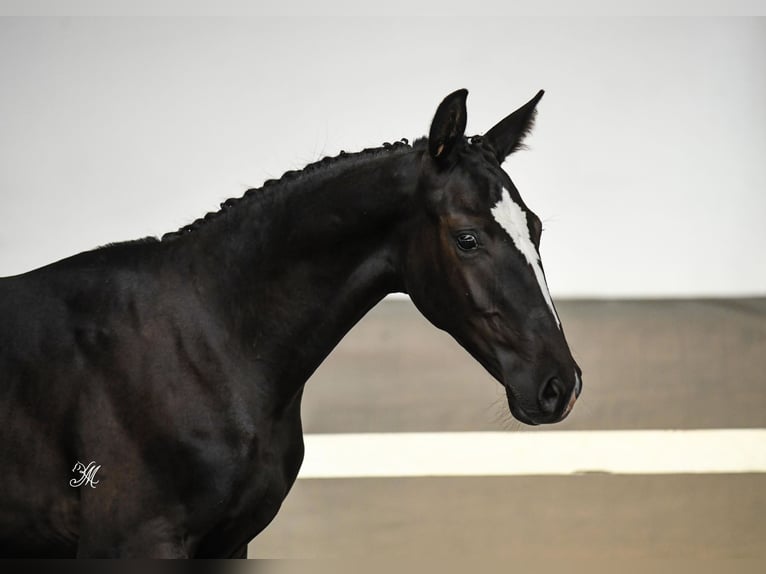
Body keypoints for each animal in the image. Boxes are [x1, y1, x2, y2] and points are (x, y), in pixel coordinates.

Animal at [0, 90, 584, 560]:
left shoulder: (230, 544)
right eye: (467, 238)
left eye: (534, 228)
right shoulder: (134, 543)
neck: (208, 345)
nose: (561, 385)